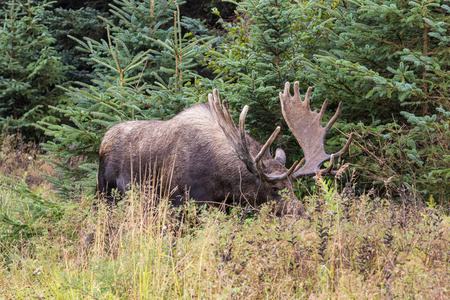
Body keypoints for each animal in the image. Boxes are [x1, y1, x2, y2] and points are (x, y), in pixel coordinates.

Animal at [97, 82, 352, 213]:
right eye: (274, 189)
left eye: (292, 186)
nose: (299, 213)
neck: (223, 183)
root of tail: (103, 138)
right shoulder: (182, 203)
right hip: (105, 191)